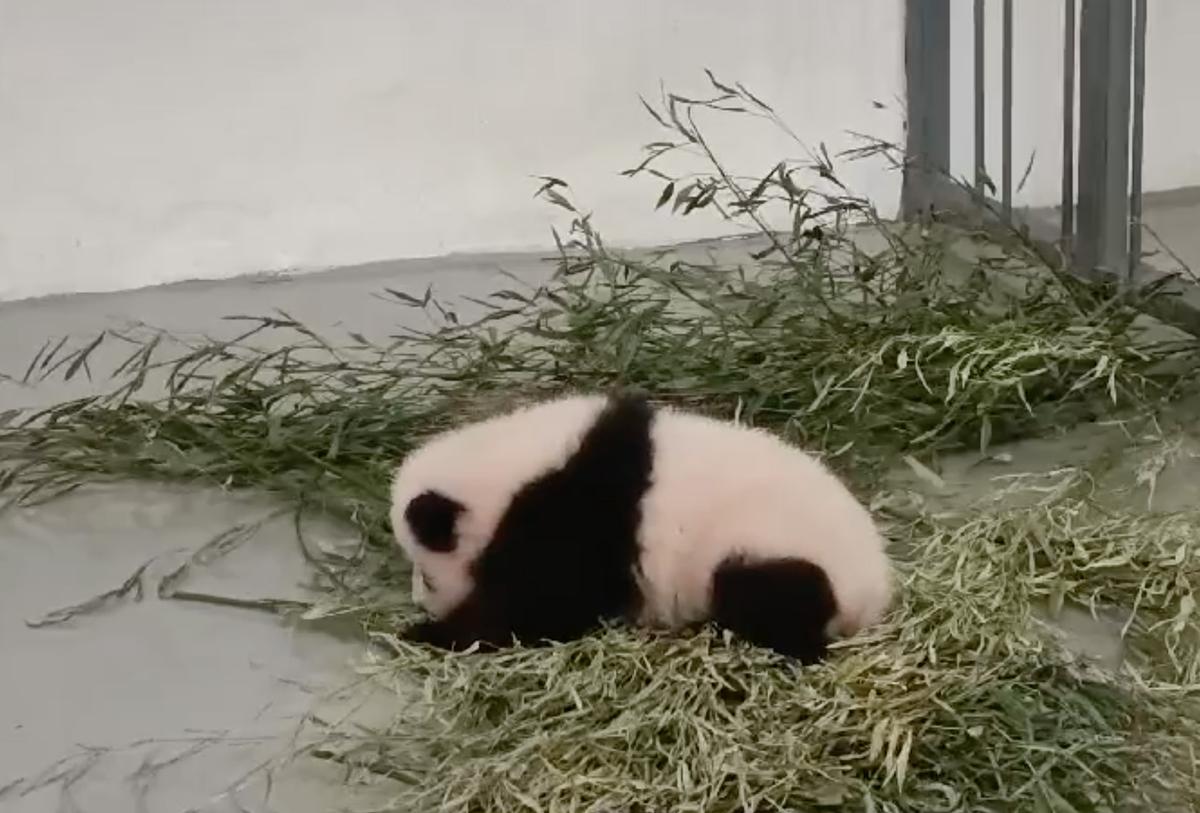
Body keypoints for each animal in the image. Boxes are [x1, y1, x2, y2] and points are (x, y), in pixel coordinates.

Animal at [388, 390, 897, 666]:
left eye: (427, 574)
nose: (421, 600)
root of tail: (872, 596)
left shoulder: (574, 517)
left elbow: (541, 604)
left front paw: (428, 634)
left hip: (773, 551)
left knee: (770, 603)